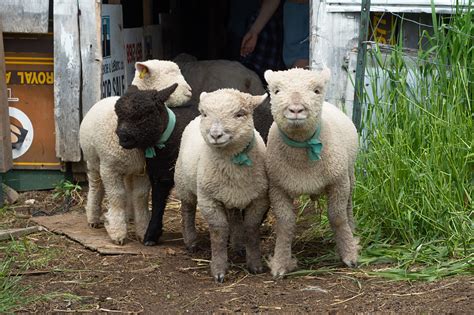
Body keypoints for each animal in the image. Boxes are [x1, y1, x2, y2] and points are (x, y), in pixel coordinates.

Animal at [78, 60, 192, 246]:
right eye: (168, 73)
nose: (190, 91)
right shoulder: (109, 169)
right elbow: (117, 197)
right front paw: (118, 233)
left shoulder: (143, 171)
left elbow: (140, 196)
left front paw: (142, 229)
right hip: (93, 161)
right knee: (96, 187)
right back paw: (93, 217)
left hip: (129, 169)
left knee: (128, 190)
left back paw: (129, 216)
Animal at [175, 89, 270, 284]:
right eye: (205, 114)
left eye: (240, 114)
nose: (216, 135)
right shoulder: (208, 200)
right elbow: (219, 232)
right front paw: (219, 270)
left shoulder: (259, 198)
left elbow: (251, 228)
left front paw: (255, 264)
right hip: (183, 182)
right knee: (187, 210)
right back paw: (191, 241)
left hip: (230, 195)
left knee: (234, 216)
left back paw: (238, 245)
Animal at [262, 68, 360, 276]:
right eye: (276, 91)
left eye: (316, 90)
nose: (296, 109)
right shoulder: (277, 188)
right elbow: (285, 223)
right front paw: (280, 263)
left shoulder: (339, 182)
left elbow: (337, 217)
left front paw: (350, 254)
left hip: (349, 175)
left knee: (348, 206)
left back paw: (352, 230)